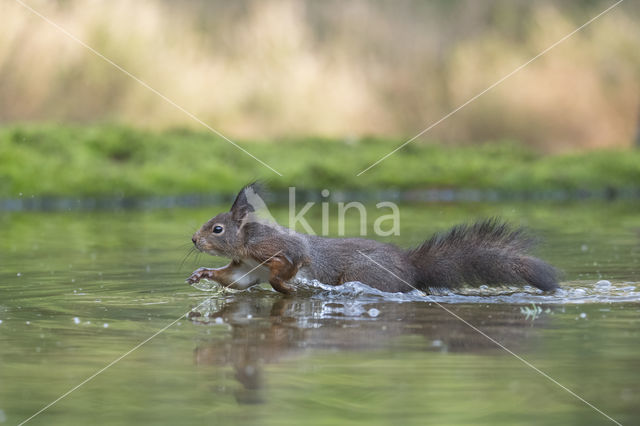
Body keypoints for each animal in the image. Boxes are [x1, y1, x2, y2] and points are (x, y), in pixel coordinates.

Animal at [188, 183, 556, 296]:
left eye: (216, 229)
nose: (193, 240)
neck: (247, 245)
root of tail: (410, 267)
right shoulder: (247, 268)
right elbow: (234, 280)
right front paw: (201, 274)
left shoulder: (277, 250)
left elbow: (292, 264)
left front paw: (285, 286)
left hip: (364, 274)